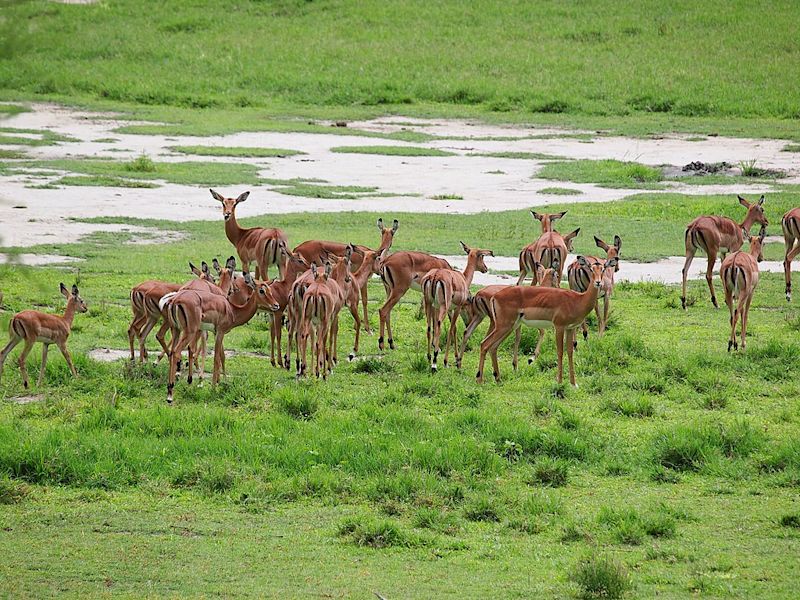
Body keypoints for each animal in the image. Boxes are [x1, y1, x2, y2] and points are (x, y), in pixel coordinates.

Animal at [165, 272, 278, 404]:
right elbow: (216, 358)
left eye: (270, 290)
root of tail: (175, 300)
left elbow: (222, 356)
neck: (232, 310)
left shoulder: (215, 333)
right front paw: (214, 387)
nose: (276, 305)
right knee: (177, 352)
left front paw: (223, 382)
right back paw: (171, 395)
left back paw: (171, 389)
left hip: (176, 330)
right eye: (261, 290)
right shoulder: (220, 332)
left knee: (172, 352)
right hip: (189, 332)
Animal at [422, 241, 490, 372]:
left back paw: (428, 358)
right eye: (482, 256)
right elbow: (451, 329)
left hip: (429, 304)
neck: (463, 278)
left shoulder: (448, 309)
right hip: (442, 306)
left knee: (429, 327)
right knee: (439, 325)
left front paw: (454, 358)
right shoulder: (457, 307)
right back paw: (434, 363)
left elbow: (453, 329)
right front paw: (447, 361)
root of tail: (435, 276)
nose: (485, 268)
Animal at [478, 255, 616, 386]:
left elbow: (570, 352)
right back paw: (480, 379)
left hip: (510, 326)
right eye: (591, 269)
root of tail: (495, 296)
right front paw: (559, 381)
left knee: (492, 347)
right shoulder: (559, 327)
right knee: (485, 344)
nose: (598, 282)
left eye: (603, 269)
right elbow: (560, 352)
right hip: (504, 326)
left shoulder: (570, 328)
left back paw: (498, 378)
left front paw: (573, 383)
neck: (578, 300)